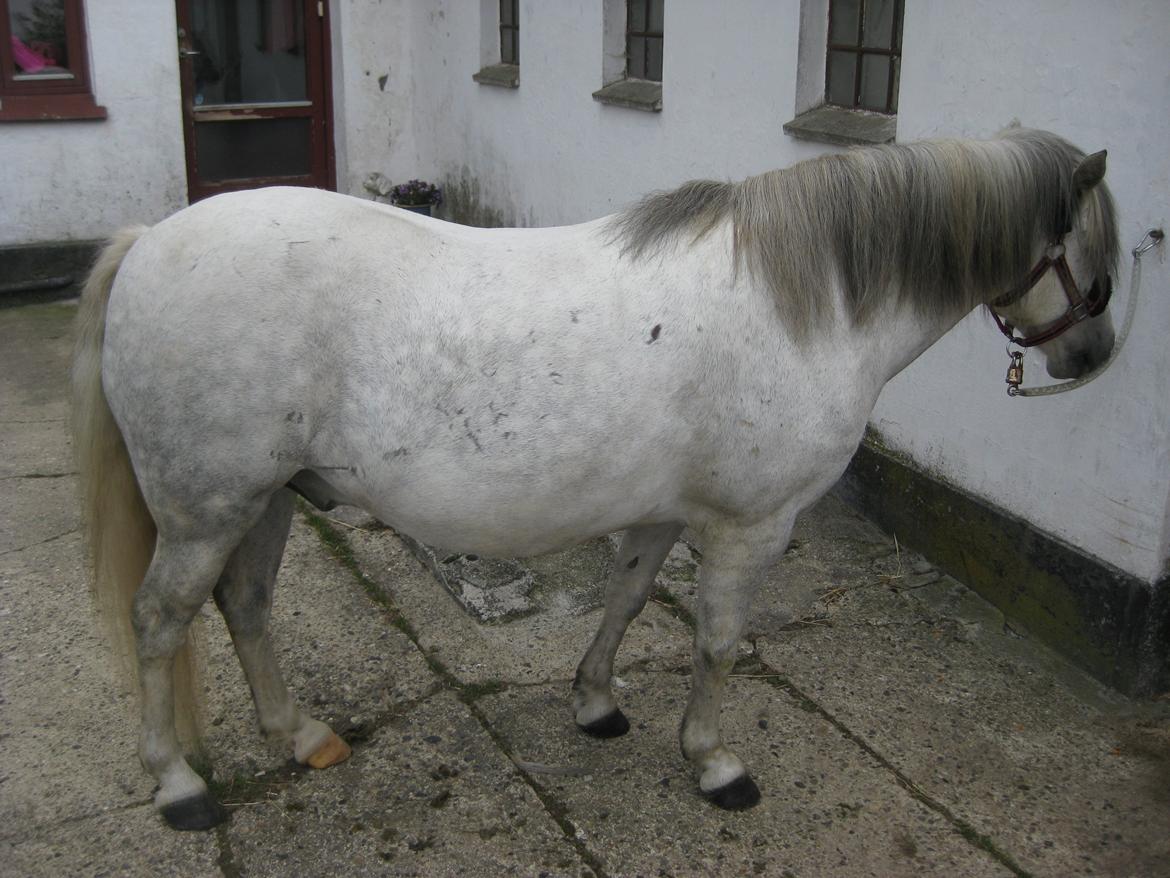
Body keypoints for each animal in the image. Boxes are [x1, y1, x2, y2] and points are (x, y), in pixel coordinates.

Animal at [70, 127, 1113, 828]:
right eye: (1091, 250)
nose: (1092, 355)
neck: (803, 304)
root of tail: (149, 240)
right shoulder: (751, 525)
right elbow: (718, 642)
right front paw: (714, 763)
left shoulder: (660, 512)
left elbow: (628, 596)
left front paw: (597, 704)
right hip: (207, 511)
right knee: (160, 621)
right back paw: (177, 785)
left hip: (263, 501)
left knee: (245, 607)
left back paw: (299, 736)